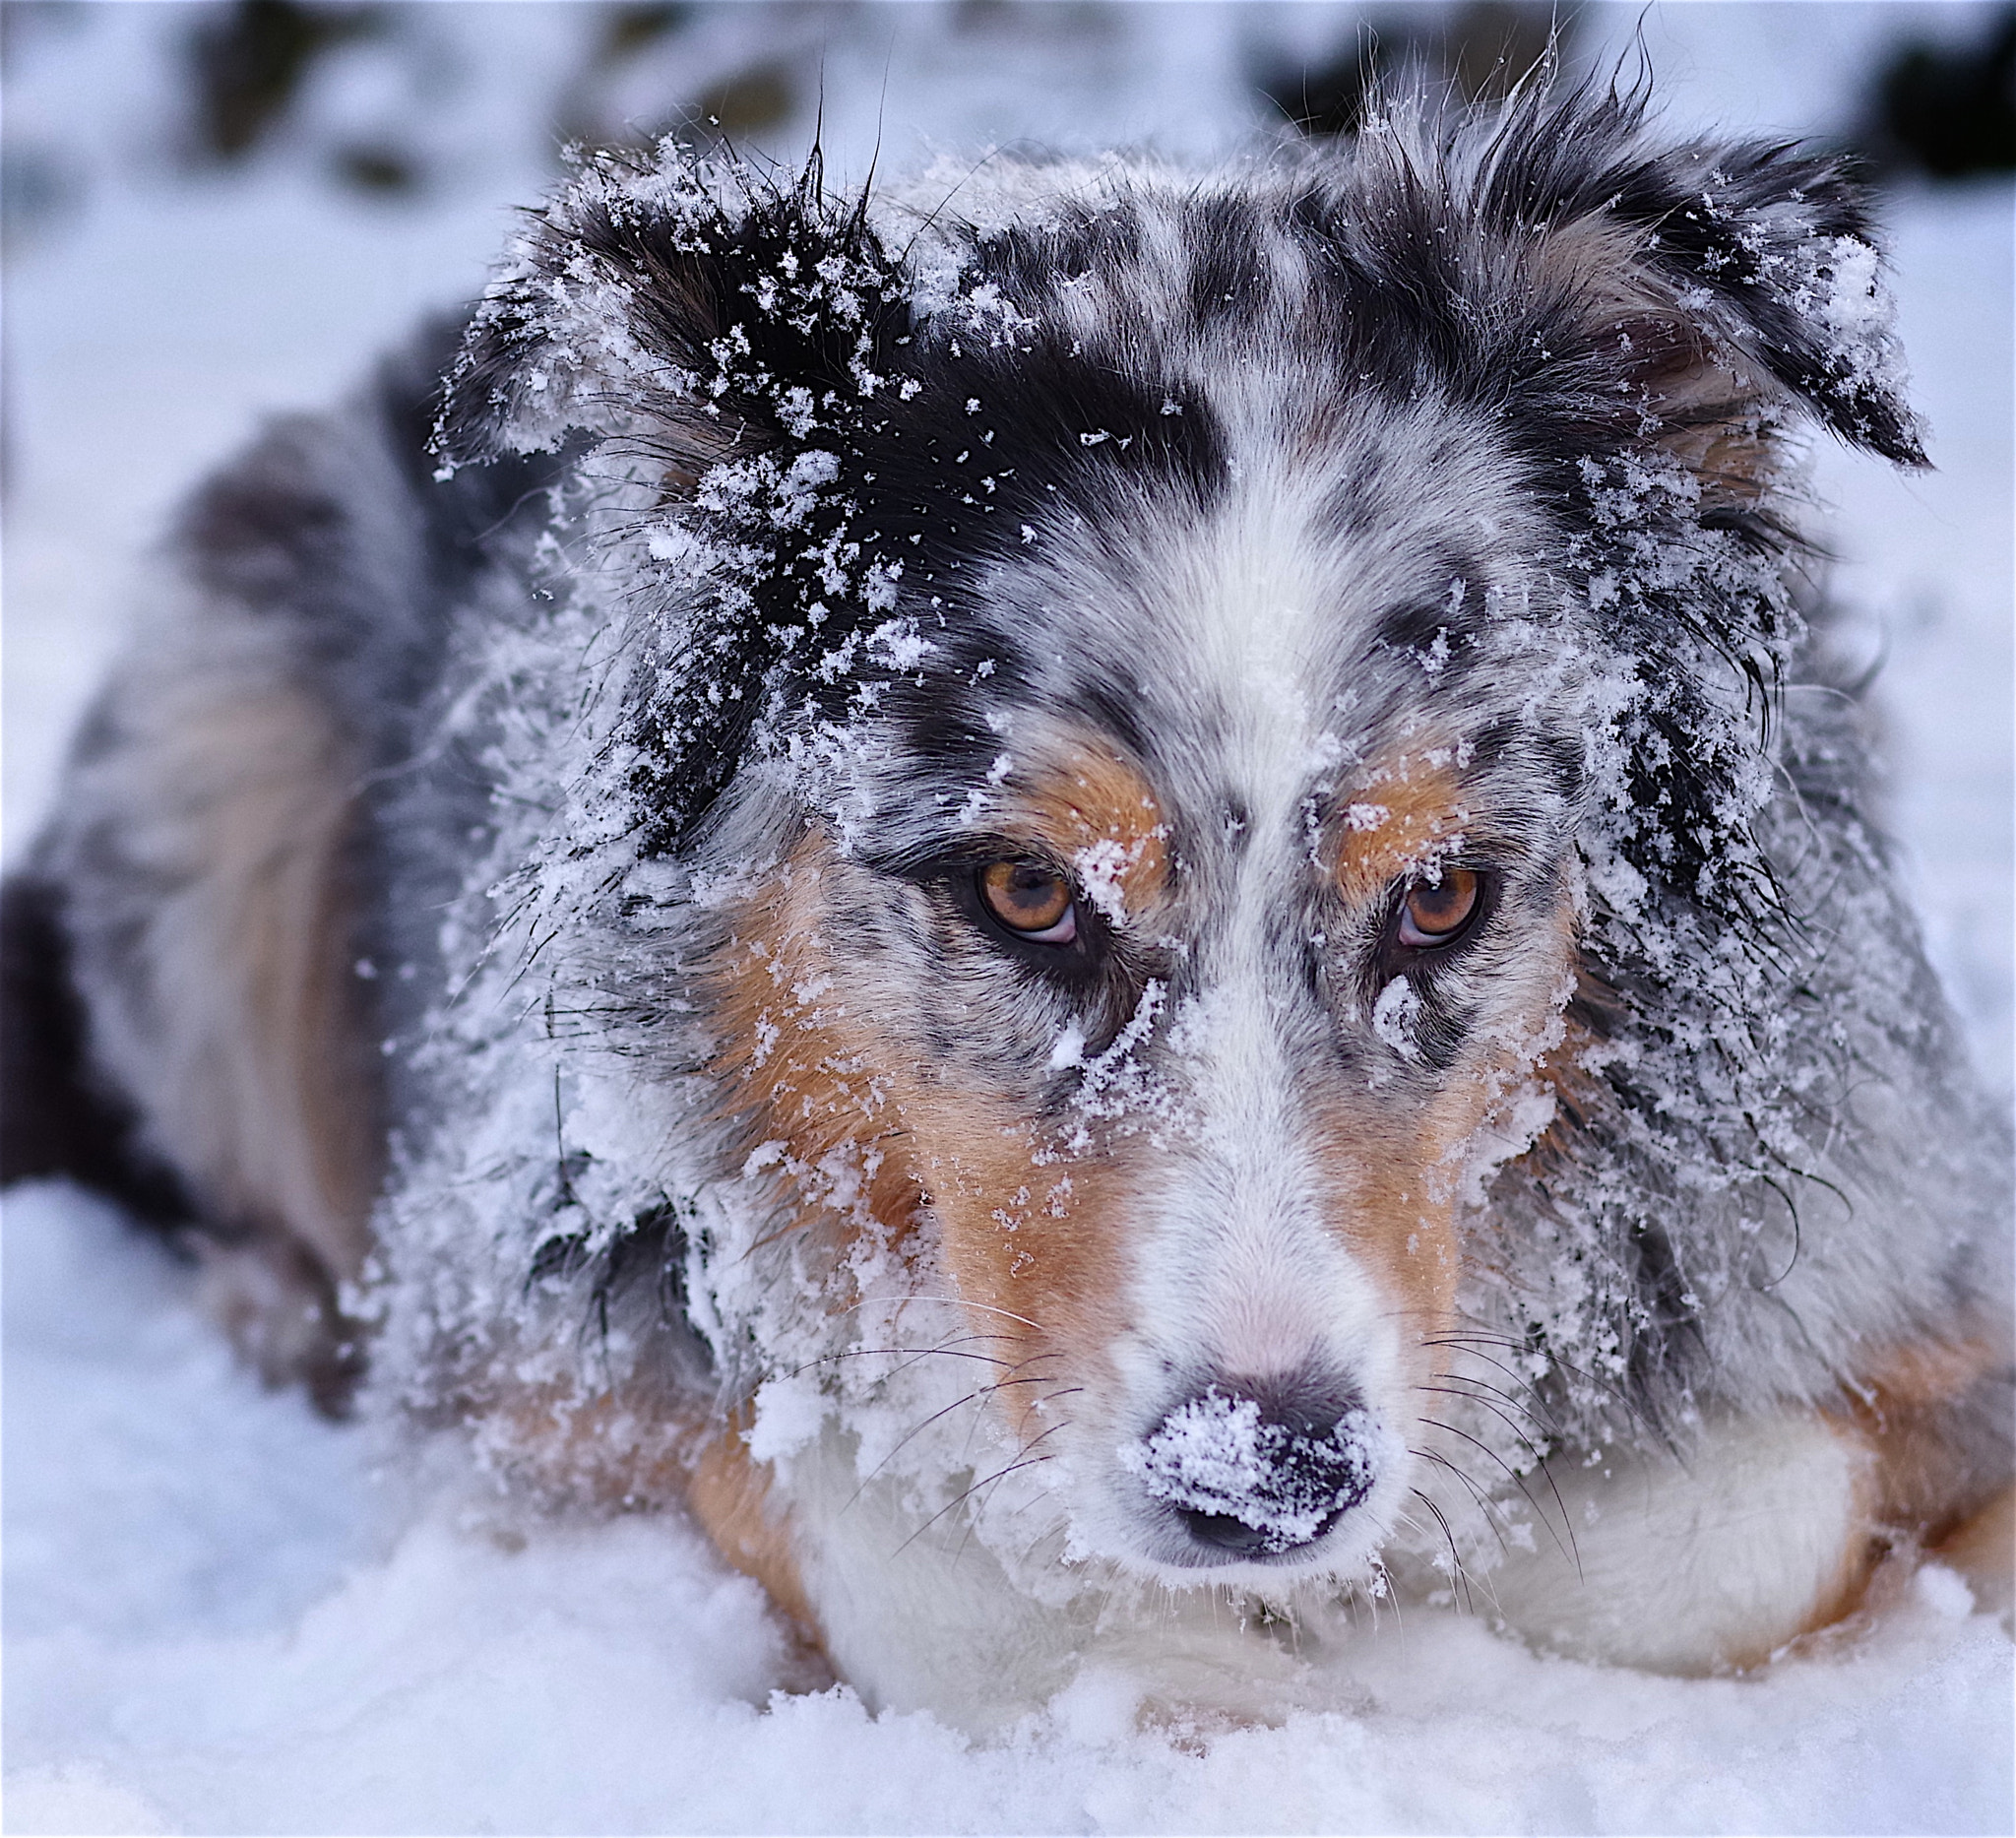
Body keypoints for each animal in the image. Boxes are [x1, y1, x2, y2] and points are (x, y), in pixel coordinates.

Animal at [4, 82, 2016, 1725]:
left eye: (1442, 895)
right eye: (1027, 888)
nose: (1266, 1477)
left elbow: (1700, 1528)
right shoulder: (520, 1347)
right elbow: (890, 1535)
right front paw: (1196, 1676)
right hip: (220, 747)